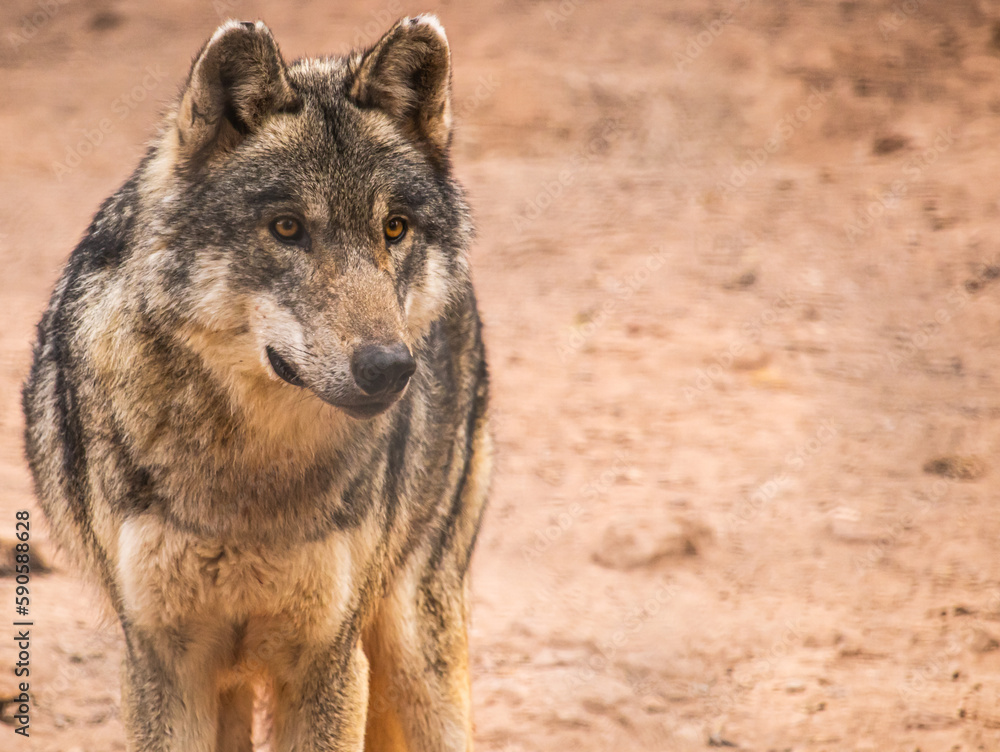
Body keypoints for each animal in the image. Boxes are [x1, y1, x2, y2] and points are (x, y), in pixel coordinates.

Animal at [21, 15, 490, 752]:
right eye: (287, 228)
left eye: (394, 228)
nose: (390, 366)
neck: (249, 486)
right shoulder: (164, 663)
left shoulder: (329, 661)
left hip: (417, 645)